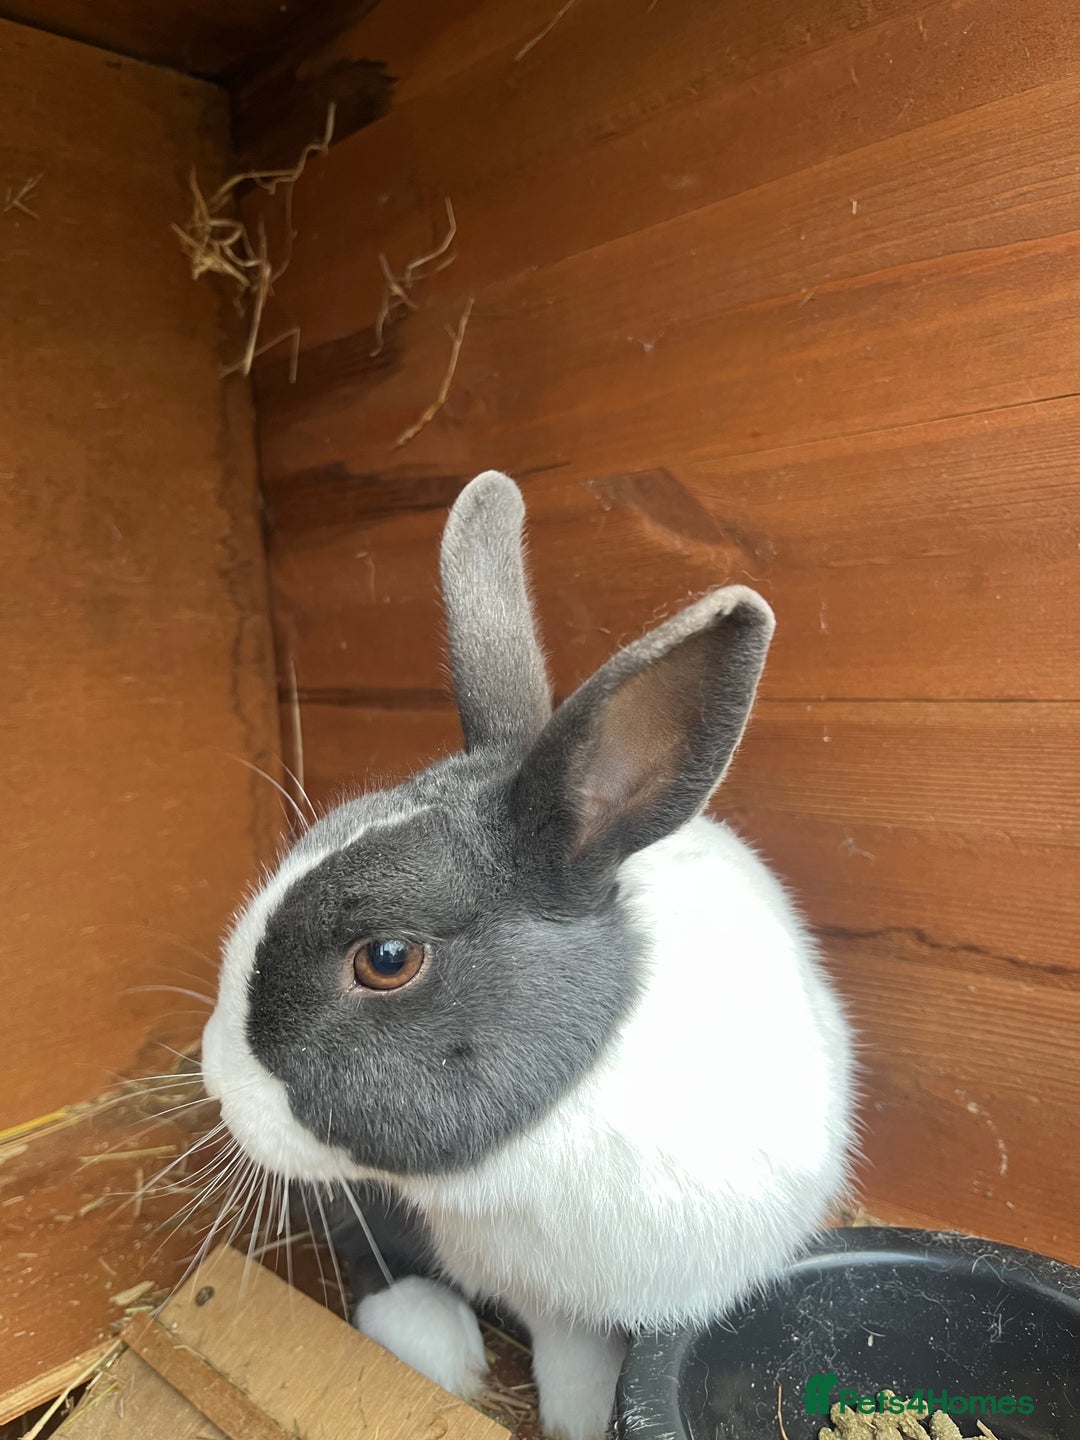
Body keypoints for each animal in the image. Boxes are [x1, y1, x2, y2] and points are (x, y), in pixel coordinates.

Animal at [201, 471, 856, 1440]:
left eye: (386, 958)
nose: (215, 1080)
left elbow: (588, 1370)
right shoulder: (544, 1293)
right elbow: (564, 1357)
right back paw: (439, 1347)